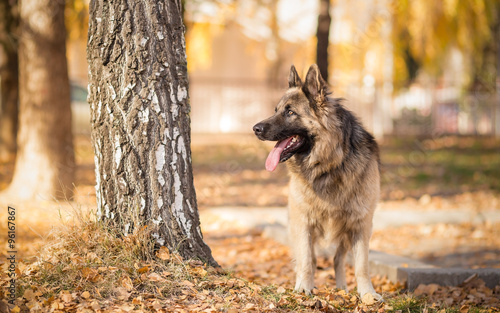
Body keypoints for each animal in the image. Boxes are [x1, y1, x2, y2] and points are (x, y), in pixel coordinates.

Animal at [254, 64, 382, 300]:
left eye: (290, 112)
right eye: (276, 110)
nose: (255, 128)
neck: (330, 163)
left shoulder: (361, 224)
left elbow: (362, 265)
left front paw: (367, 293)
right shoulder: (303, 221)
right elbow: (306, 260)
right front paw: (304, 287)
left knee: (338, 259)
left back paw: (342, 288)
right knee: (310, 258)